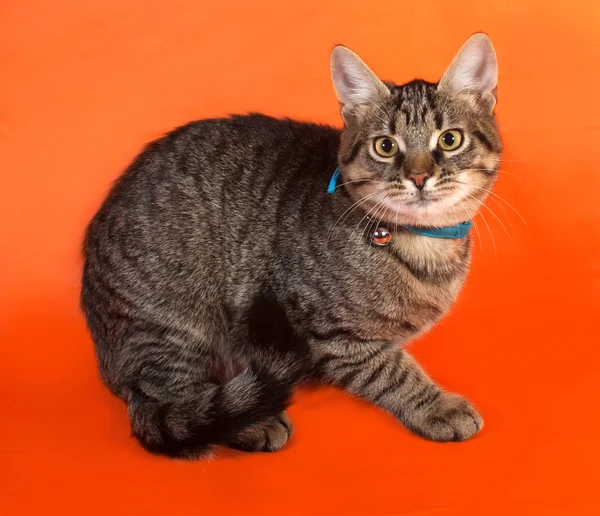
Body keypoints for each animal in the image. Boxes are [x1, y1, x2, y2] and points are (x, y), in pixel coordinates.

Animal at [79, 33, 502, 460]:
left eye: (450, 139)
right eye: (385, 146)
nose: (418, 176)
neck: (423, 244)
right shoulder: (328, 334)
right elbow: (392, 371)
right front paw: (436, 407)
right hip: (177, 317)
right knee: (165, 406)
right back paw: (252, 423)